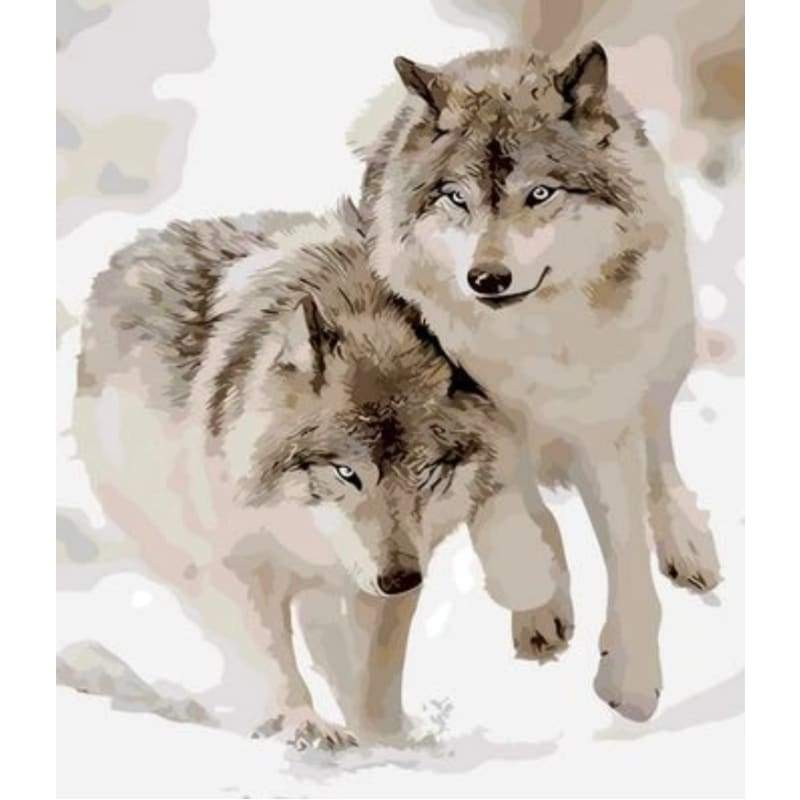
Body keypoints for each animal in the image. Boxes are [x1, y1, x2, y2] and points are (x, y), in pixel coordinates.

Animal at [73, 202, 512, 749]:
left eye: (427, 471)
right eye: (346, 472)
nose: (398, 578)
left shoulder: (393, 573)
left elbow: (376, 674)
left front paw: (386, 741)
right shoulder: (240, 565)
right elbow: (273, 657)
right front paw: (303, 724)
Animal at [359, 43, 722, 721]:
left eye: (541, 193)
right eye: (456, 198)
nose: (487, 278)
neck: (535, 345)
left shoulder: (605, 427)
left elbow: (628, 557)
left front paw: (632, 679)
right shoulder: (480, 419)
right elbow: (513, 519)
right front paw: (539, 597)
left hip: (666, 348)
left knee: (659, 447)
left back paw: (686, 542)